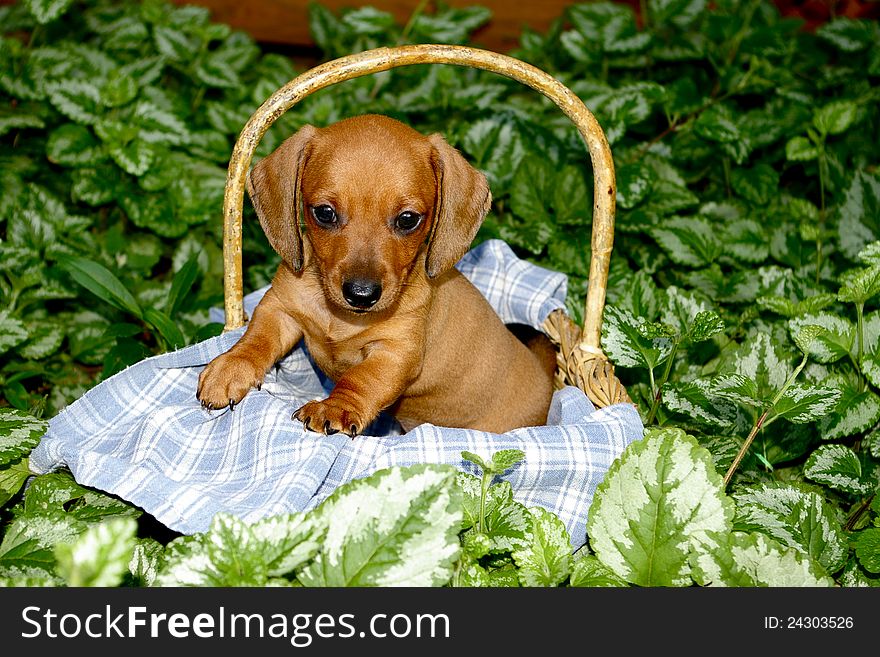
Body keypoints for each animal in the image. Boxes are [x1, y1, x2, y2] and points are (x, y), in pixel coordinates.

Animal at [199, 114, 556, 436]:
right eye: (324, 213)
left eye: (408, 219)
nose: (361, 295)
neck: (342, 318)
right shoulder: (280, 309)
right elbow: (256, 338)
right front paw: (230, 367)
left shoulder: (394, 352)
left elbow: (359, 379)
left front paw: (334, 408)